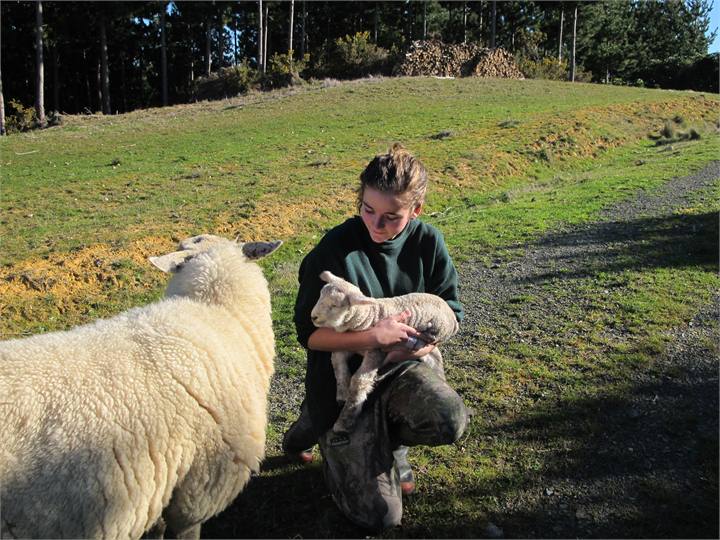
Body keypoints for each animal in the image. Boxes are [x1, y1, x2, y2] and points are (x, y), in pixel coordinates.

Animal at [310, 270, 459, 433]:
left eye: (334, 305)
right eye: (319, 296)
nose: (313, 317)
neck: (368, 318)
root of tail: (454, 319)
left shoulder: (376, 351)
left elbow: (359, 382)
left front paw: (344, 421)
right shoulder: (349, 345)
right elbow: (337, 362)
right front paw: (342, 393)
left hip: (439, 327)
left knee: (430, 340)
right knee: (434, 356)